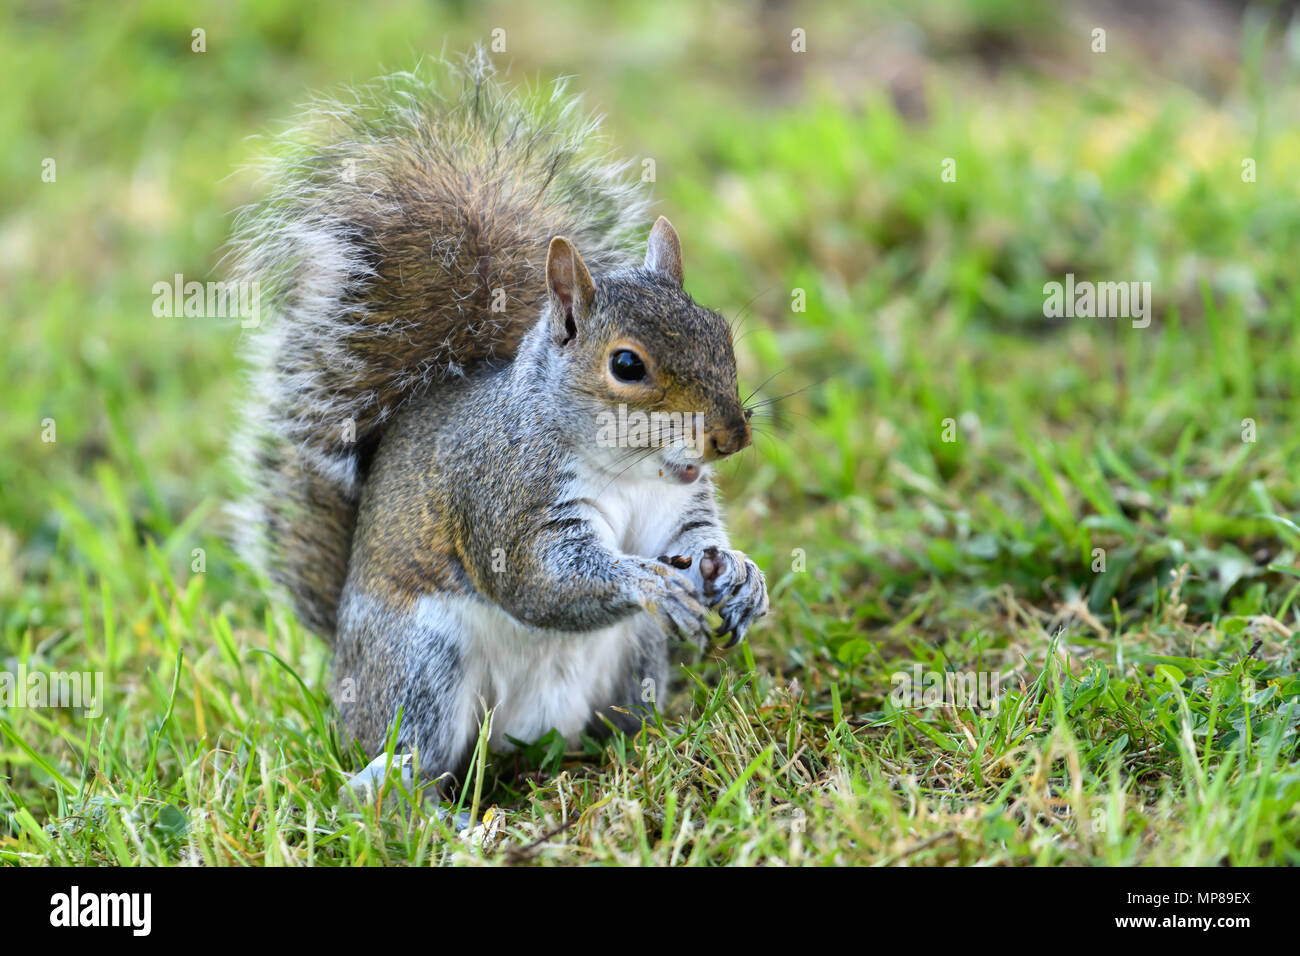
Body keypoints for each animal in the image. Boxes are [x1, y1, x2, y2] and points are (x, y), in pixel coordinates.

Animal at [228, 51, 769, 788]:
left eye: (720, 333)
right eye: (627, 365)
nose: (731, 438)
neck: (631, 467)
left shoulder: (677, 508)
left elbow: (695, 541)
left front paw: (741, 574)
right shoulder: (505, 496)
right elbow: (537, 580)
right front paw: (645, 580)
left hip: (635, 655)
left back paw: (648, 745)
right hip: (420, 663)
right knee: (413, 753)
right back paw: (410, 795)